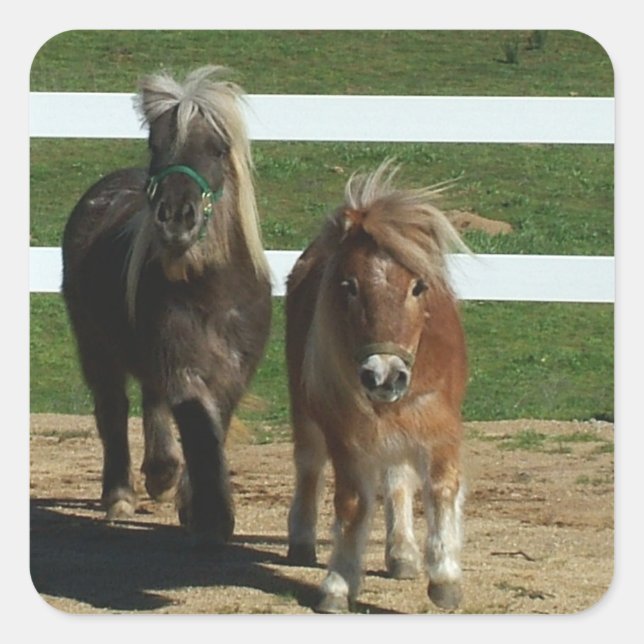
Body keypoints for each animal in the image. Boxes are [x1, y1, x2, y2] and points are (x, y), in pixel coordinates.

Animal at [61, 66, 272, 544]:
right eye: (155, 144)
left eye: (217, 148)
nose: (176, 217)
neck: (212, 291)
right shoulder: (182, 365)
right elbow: (198, 433)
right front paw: (211, 517)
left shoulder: (232, 373)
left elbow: (211, 428)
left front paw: (194, 507)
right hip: (94, 347)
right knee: (113, 409)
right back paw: (121, 494)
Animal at [285, 161, 469, 613]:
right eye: (348, 286)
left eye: (418, 286)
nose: (383, 375)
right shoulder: (347, 437)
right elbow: (352, 505)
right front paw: (338, 584)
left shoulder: (438, 427)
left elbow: (441, 490)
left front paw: (444, 579)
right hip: (306, 413)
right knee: (309, 466)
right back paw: (301, 541)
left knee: (398, 479)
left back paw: (402, 554)